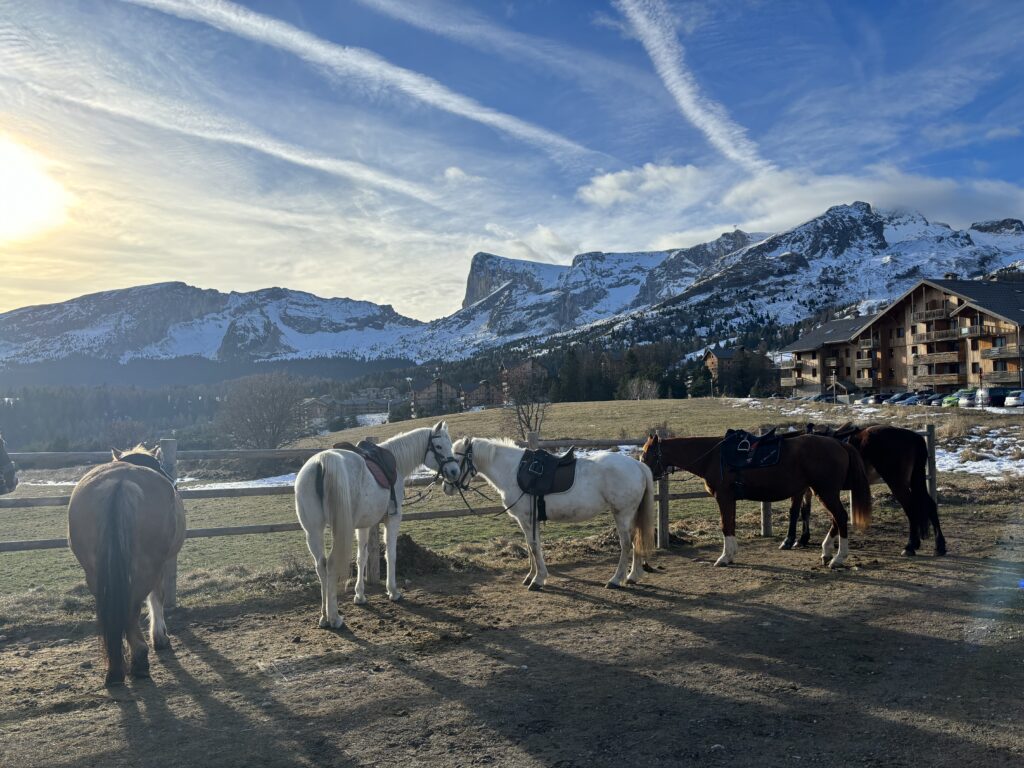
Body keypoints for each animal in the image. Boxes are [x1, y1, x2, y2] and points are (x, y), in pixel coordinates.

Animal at [68, 442, 186, 688]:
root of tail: (120, 483)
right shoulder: (162, 564)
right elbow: (157, 597)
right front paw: (160, 637)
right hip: (146, 567)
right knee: (132, 608)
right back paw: (139, 660)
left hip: (94, 572)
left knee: (114, 609)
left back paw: (115, 668)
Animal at [292, 421, 460, 630]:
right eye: (438, 446)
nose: (454, 471)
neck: (396, 463)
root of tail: (322, 461)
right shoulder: (392, 519)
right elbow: (391, 554)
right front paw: (393, 591)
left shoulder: (362, 525)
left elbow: (361, 558)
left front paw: (360, 595)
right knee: (331, 565)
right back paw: (334, 617)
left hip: (313, 531)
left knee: (321, 567)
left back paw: (324, 616)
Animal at [442, 436, 651, 593]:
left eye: (457, 460)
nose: (446, 487)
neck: (512, 470)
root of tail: (636, 465)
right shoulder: (527, 521)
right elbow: (530, 546)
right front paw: (530, 576)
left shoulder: (527, 519)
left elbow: (534, 547)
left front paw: (538, 580)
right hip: (630, 514)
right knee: (635, 540)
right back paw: (632, 576)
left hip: (622, 513)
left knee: (626, 543)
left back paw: (615, 579)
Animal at [638, 434, 872, 573]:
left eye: (648, 453)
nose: (642, 470)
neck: (713, 457)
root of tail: (840, 443)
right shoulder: (729, 499)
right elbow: (730, 525)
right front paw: (731, 554)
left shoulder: (724, 497)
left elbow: (726, 526)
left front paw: (724, 557)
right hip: (822, 491)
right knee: (836, 519)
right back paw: (826, 552)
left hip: (826, 492)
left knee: (840, 517)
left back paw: (838, 558)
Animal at [782, 428, 950, 561]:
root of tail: (914, 437)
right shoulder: (809, 489)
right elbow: (805, 512)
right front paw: (803, 539)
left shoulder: (801, 490)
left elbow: (794, 512)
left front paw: (789, 540)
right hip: (913, 480)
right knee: (930, 505)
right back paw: (939, 546)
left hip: (897, 482)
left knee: (911, 508)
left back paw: (910, 546)